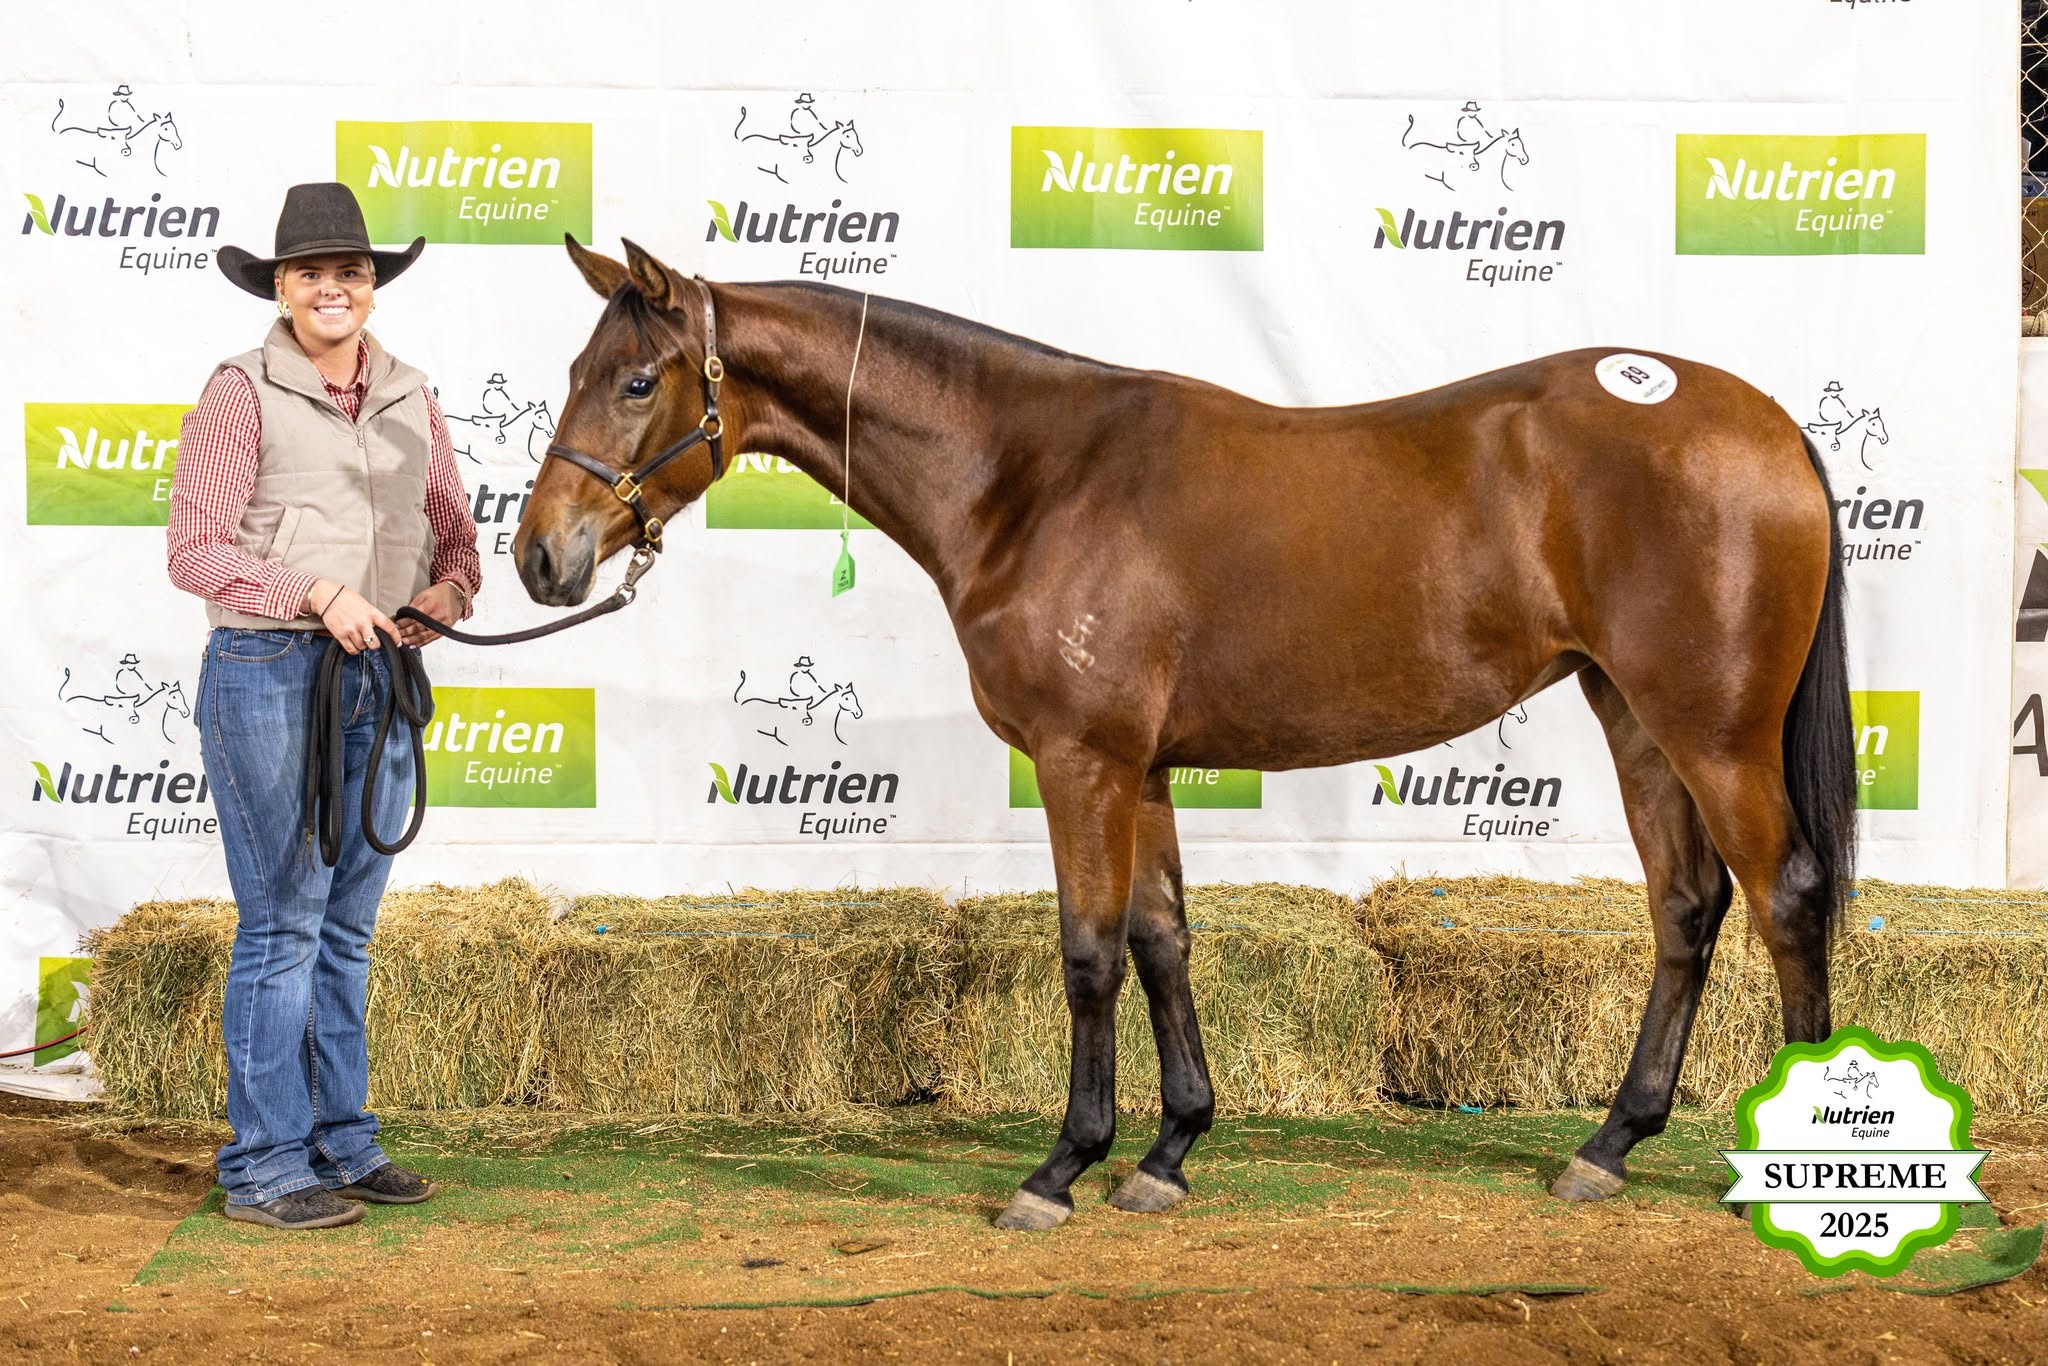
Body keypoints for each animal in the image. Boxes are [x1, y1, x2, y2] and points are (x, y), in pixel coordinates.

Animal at [515, 238, 1855, 1232]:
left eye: (636, 381)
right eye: (578, 365)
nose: (539, 557)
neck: (1027, 477)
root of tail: (1765, 422)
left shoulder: (1080, 760)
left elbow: (1087, 953)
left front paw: (1060, 1167)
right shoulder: (1143, 767)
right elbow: (1163, 941)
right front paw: (1167, 1151)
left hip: (1712, 731)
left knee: (1784, 894)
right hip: (1630, 712)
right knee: (1685, 905)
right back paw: (1608, 1143)